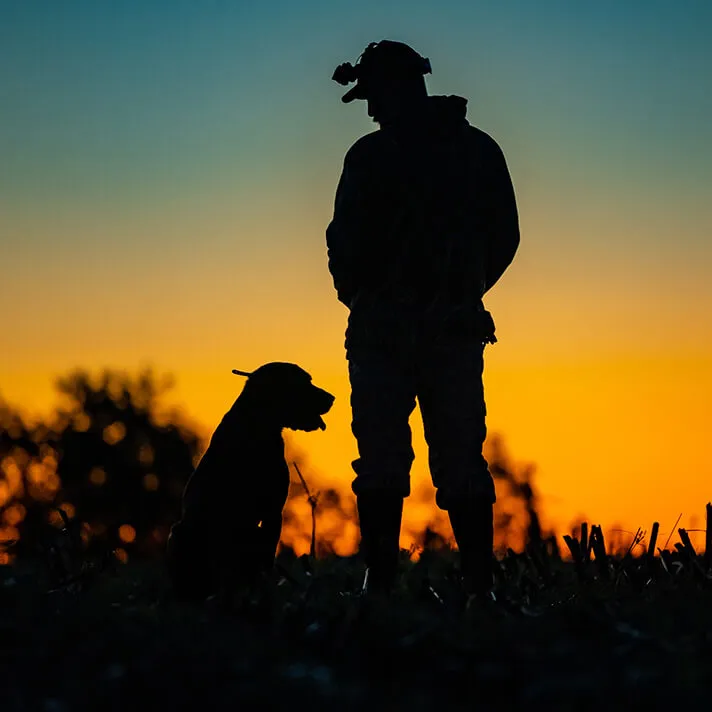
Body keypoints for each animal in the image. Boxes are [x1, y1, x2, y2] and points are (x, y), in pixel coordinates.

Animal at [165, 362, 336, 600]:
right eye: (303, 382)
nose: (332, 398)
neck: (257, 427)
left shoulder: (273, 513)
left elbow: (265, 561)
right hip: (180, 532)